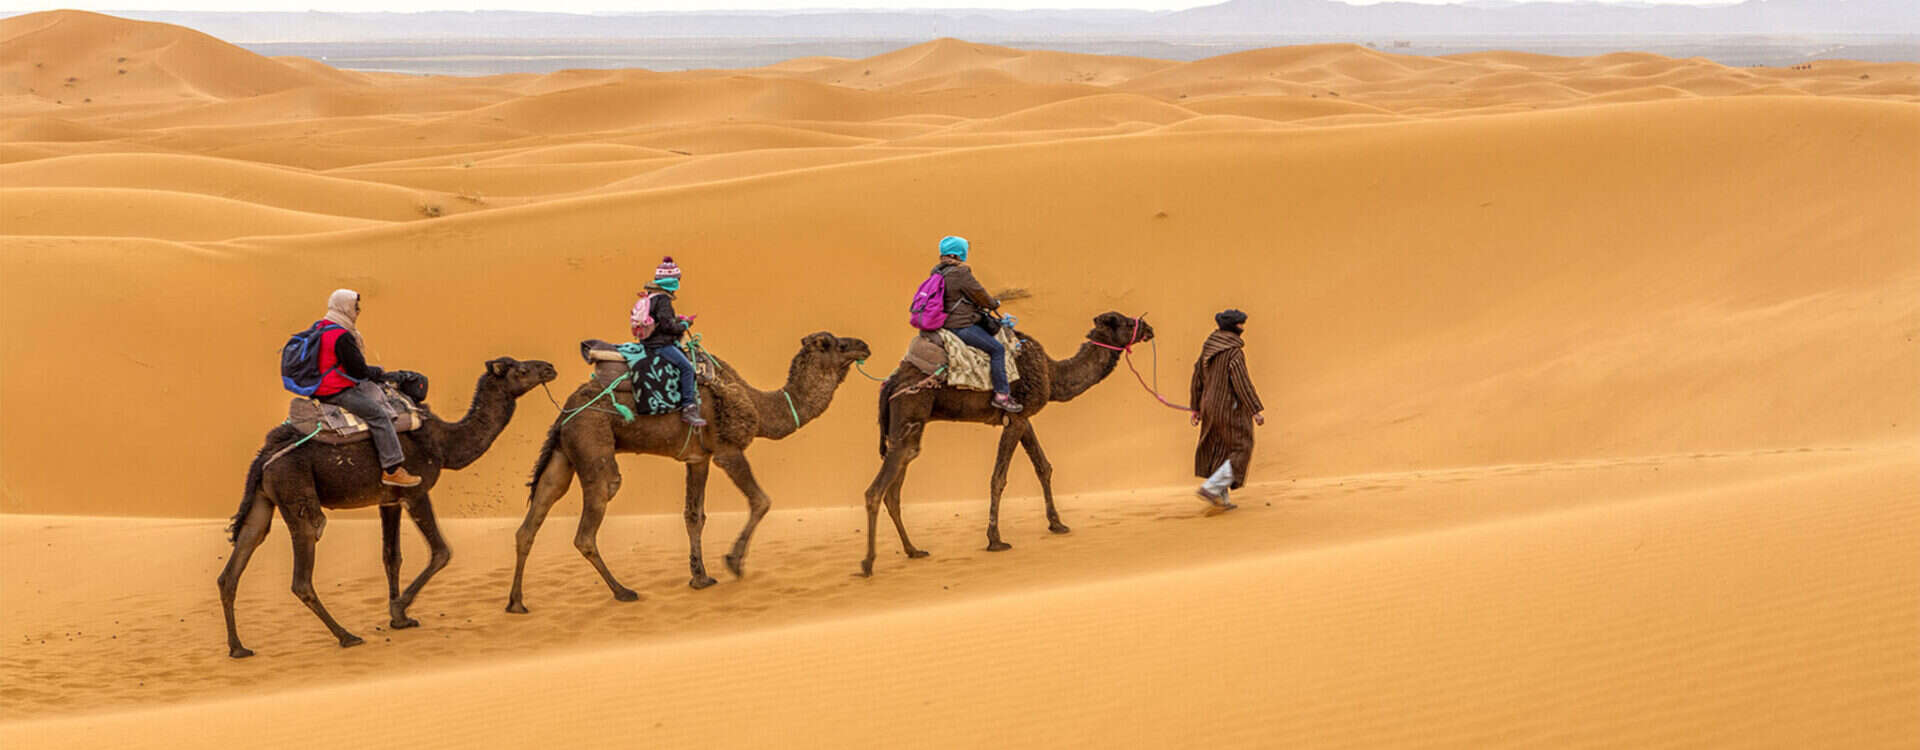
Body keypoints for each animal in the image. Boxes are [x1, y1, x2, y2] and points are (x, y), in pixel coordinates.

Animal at [219, 357, 559, 658]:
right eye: (521, 370)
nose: (549, 368)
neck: (444, 444)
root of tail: (264, 456)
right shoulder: (416, 492)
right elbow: (441, 551)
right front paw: (400, 607)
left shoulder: (390, 499)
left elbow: (391, 557)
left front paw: (400, 620)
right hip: (296, 495)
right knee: (301, 576)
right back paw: (347, 636)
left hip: (263, 500)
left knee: (236, 563)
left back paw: (238, 648)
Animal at [507, 331, 871, 612]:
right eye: (835, 344)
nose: (864, 346)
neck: (759, 406)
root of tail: (564, 413)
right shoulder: (727, 450)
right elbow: (761, 501)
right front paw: (734, 562)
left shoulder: (698, 459)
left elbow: (694, 516)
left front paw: (700, 577)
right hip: (591, 439)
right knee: (590, 522)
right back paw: (623, 591)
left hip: (562, 454)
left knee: (533, 518)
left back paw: (516, 603)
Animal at [861, 312, 1153, 576]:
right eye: (1125, 322)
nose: (1148, 328)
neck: (1051, 374)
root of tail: (891, 382)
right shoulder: (1015, 419)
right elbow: (998, 478)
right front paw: (995, 539)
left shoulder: (1023, 417)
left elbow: (1043, 467)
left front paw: (1057, 524)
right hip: (910, 410)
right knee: (876, 491)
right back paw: (868, 564)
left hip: (907, 430)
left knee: (895, 485)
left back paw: (913, 550)